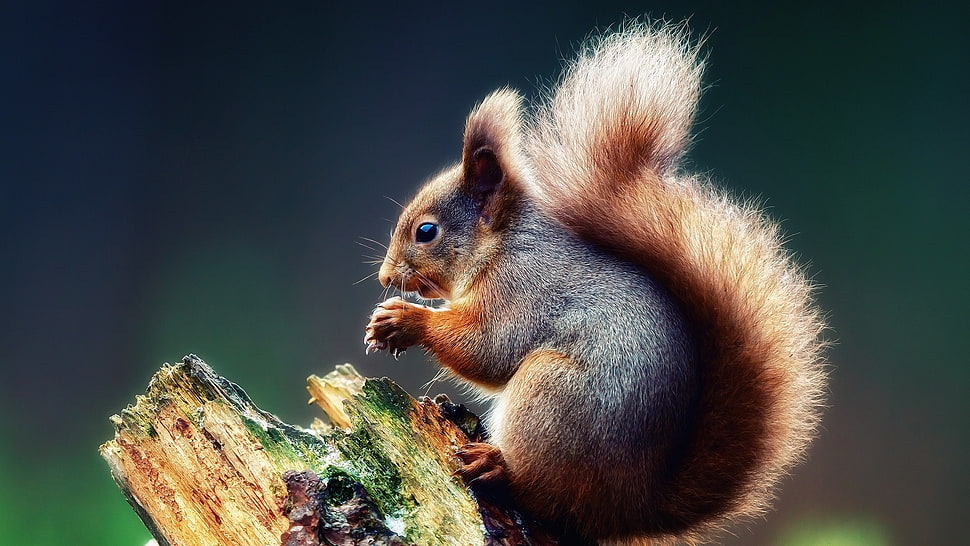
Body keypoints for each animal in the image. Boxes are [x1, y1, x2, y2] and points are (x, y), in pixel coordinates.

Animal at [363, 22, 826, 545]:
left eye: (427, 231)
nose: (385, 278)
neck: (503, 245)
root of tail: (628, 509)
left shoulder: (523, 288)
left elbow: (491, 348)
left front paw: (404, 320)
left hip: (551, 395)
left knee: (542, 493)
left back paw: (494, 466)